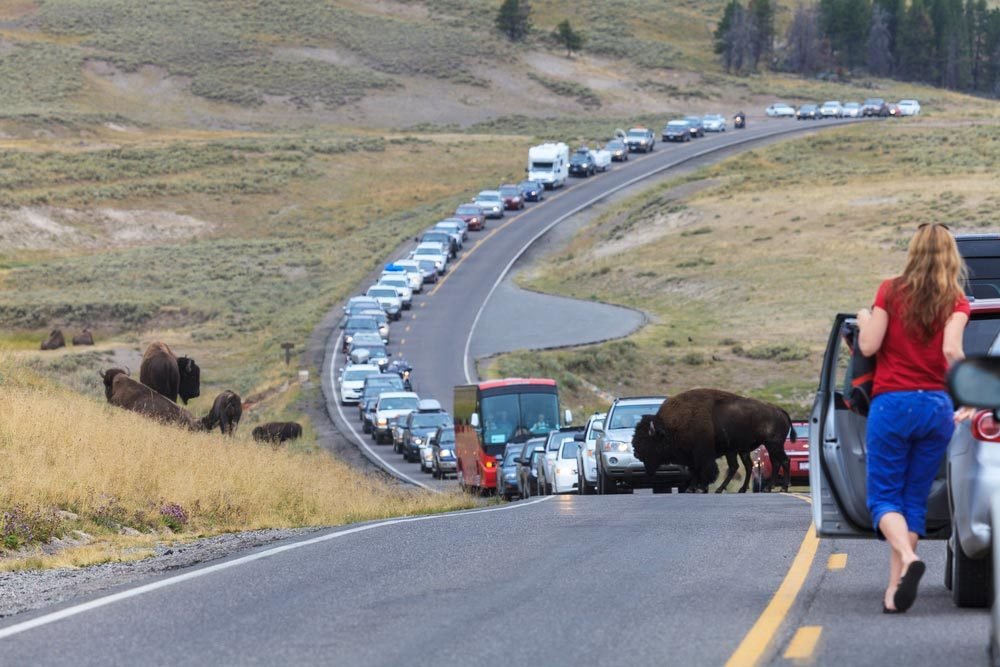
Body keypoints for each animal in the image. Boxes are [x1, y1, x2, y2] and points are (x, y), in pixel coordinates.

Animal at [636, 388, 792, 494]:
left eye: (647, 440)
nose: (637, 453)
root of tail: (779, 410)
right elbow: (695, 470)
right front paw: (696, 488)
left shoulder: (700, 455)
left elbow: (700, 470)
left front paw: (696, 488)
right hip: (747, 450)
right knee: (752, 466)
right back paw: (743, 489)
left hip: (772, 445)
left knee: (782, 461)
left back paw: (780, 487)